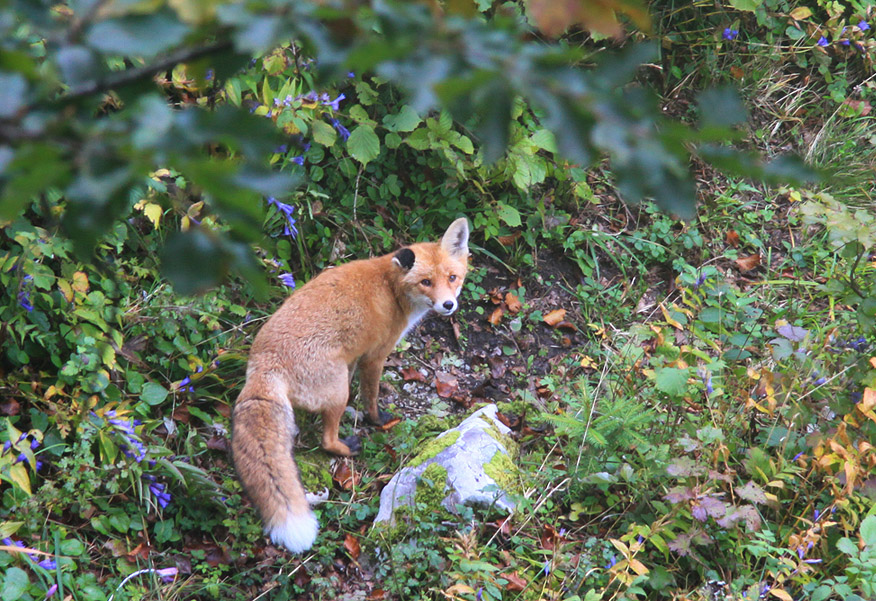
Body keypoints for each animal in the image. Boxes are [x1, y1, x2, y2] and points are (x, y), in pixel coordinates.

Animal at [229, 216, 468, 552]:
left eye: (452, 277)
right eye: (426, 282)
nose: (448, 305)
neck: (391, 288)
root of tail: (263, 365)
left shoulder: (357, 355)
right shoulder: (376, 355)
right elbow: (370, 396)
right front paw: (377, 419)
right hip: (337, 387)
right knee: (326, 439)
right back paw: (347, 447)